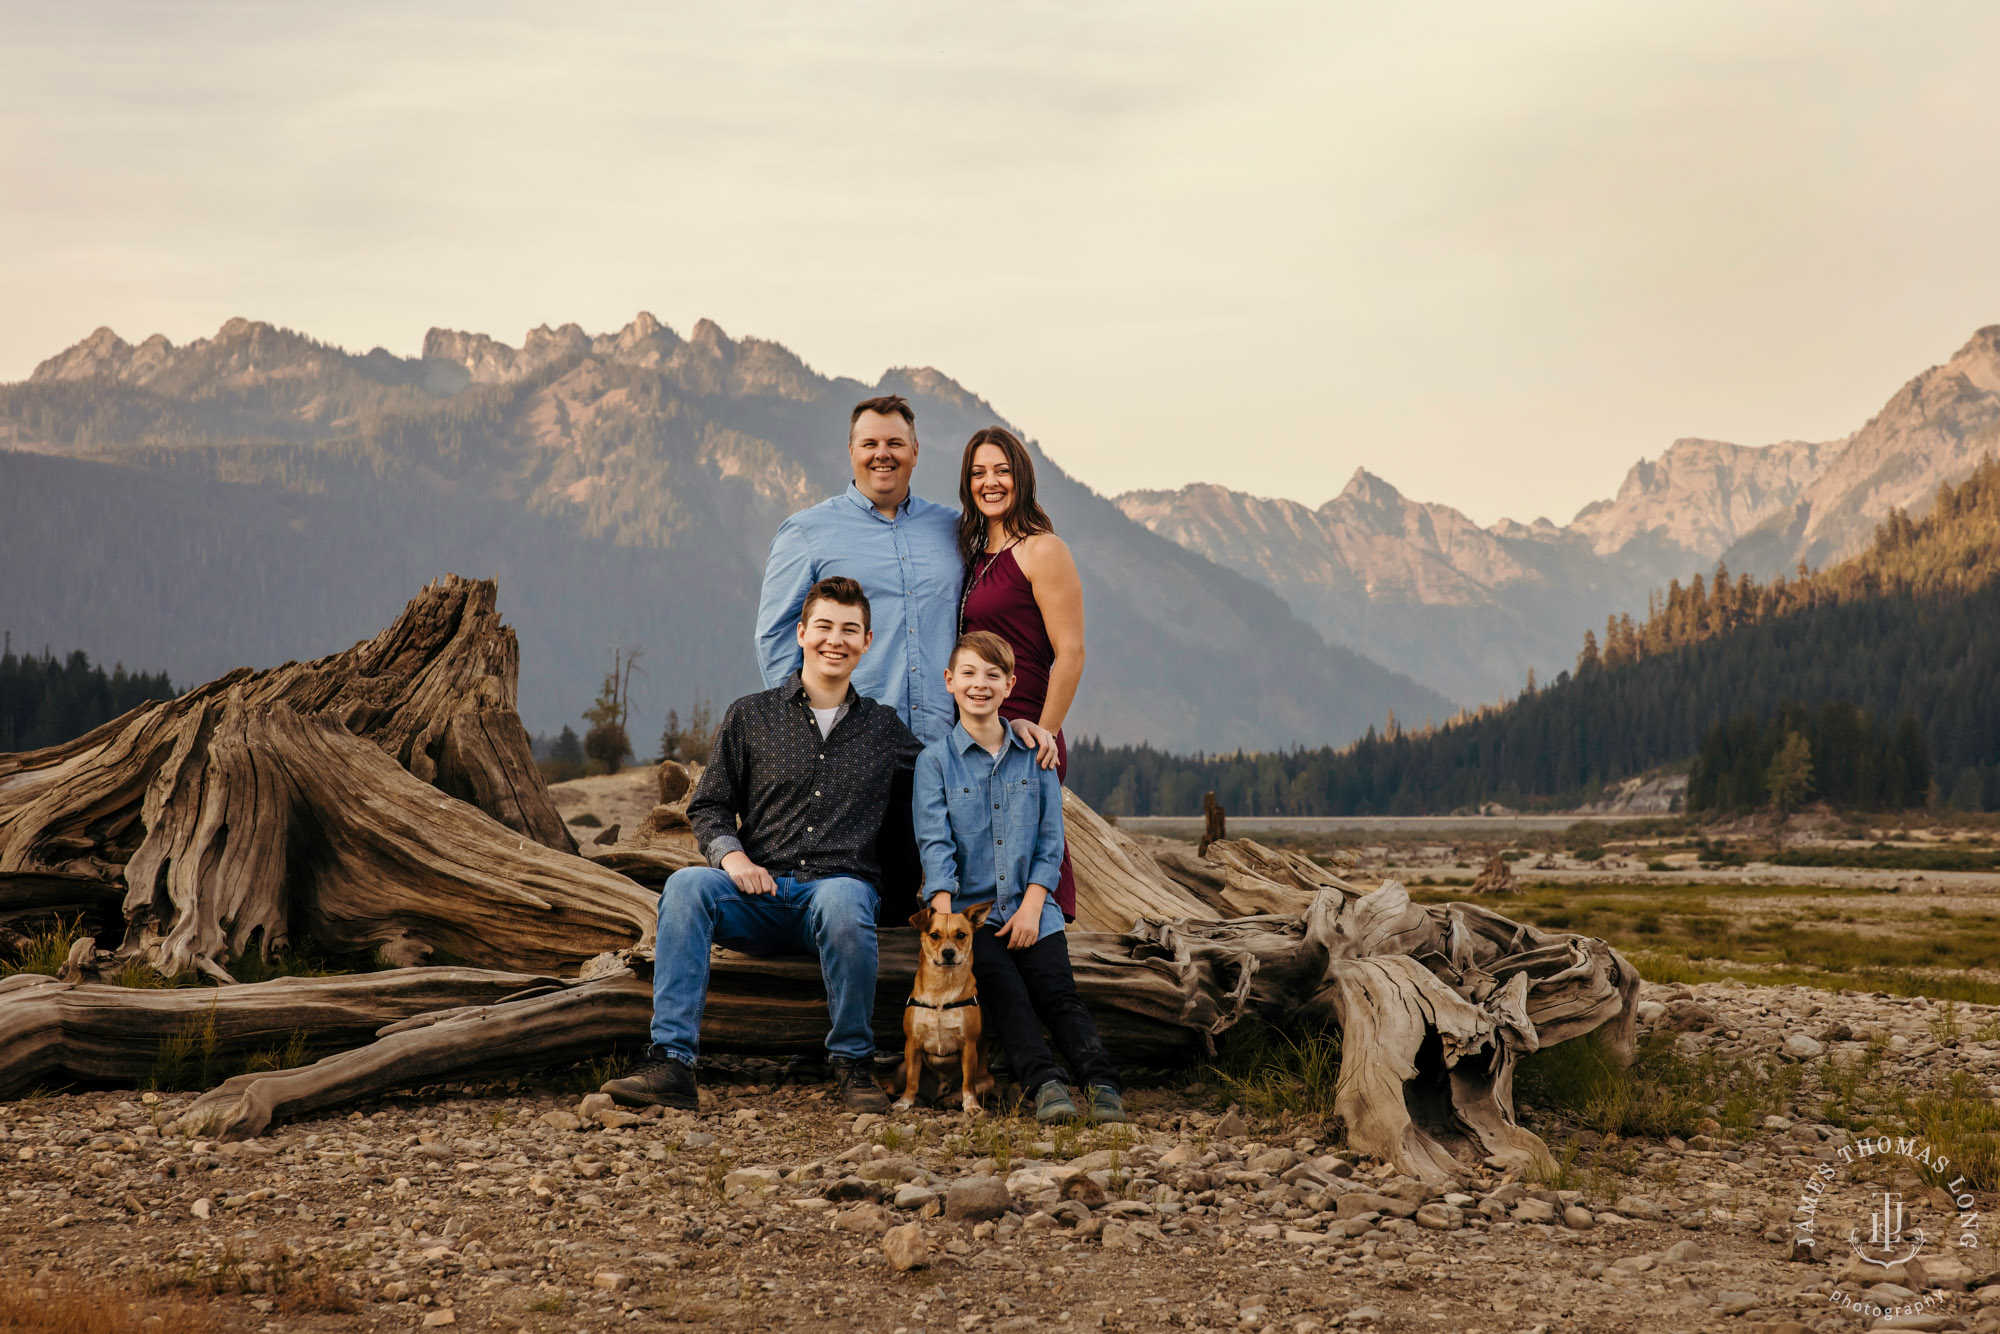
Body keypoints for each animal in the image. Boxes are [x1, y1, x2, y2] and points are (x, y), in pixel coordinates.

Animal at [896, 896, 996, 1120]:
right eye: (934, 935)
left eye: (961, 935)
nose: (948, 952)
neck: (941, 989)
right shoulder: (912, 1043)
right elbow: (912, 1081)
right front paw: (904, 1102)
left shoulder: (968, 1045)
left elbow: (968, 1083)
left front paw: (971, 1106)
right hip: (901, 1066)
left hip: (988, 1080)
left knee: (962, 1089)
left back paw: (950, 1100)